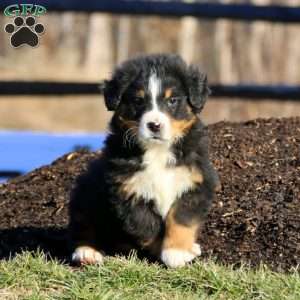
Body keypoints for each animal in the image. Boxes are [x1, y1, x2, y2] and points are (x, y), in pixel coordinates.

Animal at [69, 53, 219, 268]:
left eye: (173, 100)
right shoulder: (126, 191)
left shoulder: (195, 182)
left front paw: (178, 251)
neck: (157, 151)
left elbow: (181, 218)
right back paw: (87, 252)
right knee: (83, 226)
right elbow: (147, 226)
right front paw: (166, 252)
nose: (154, 125)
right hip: (86, 194)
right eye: (138, 101)